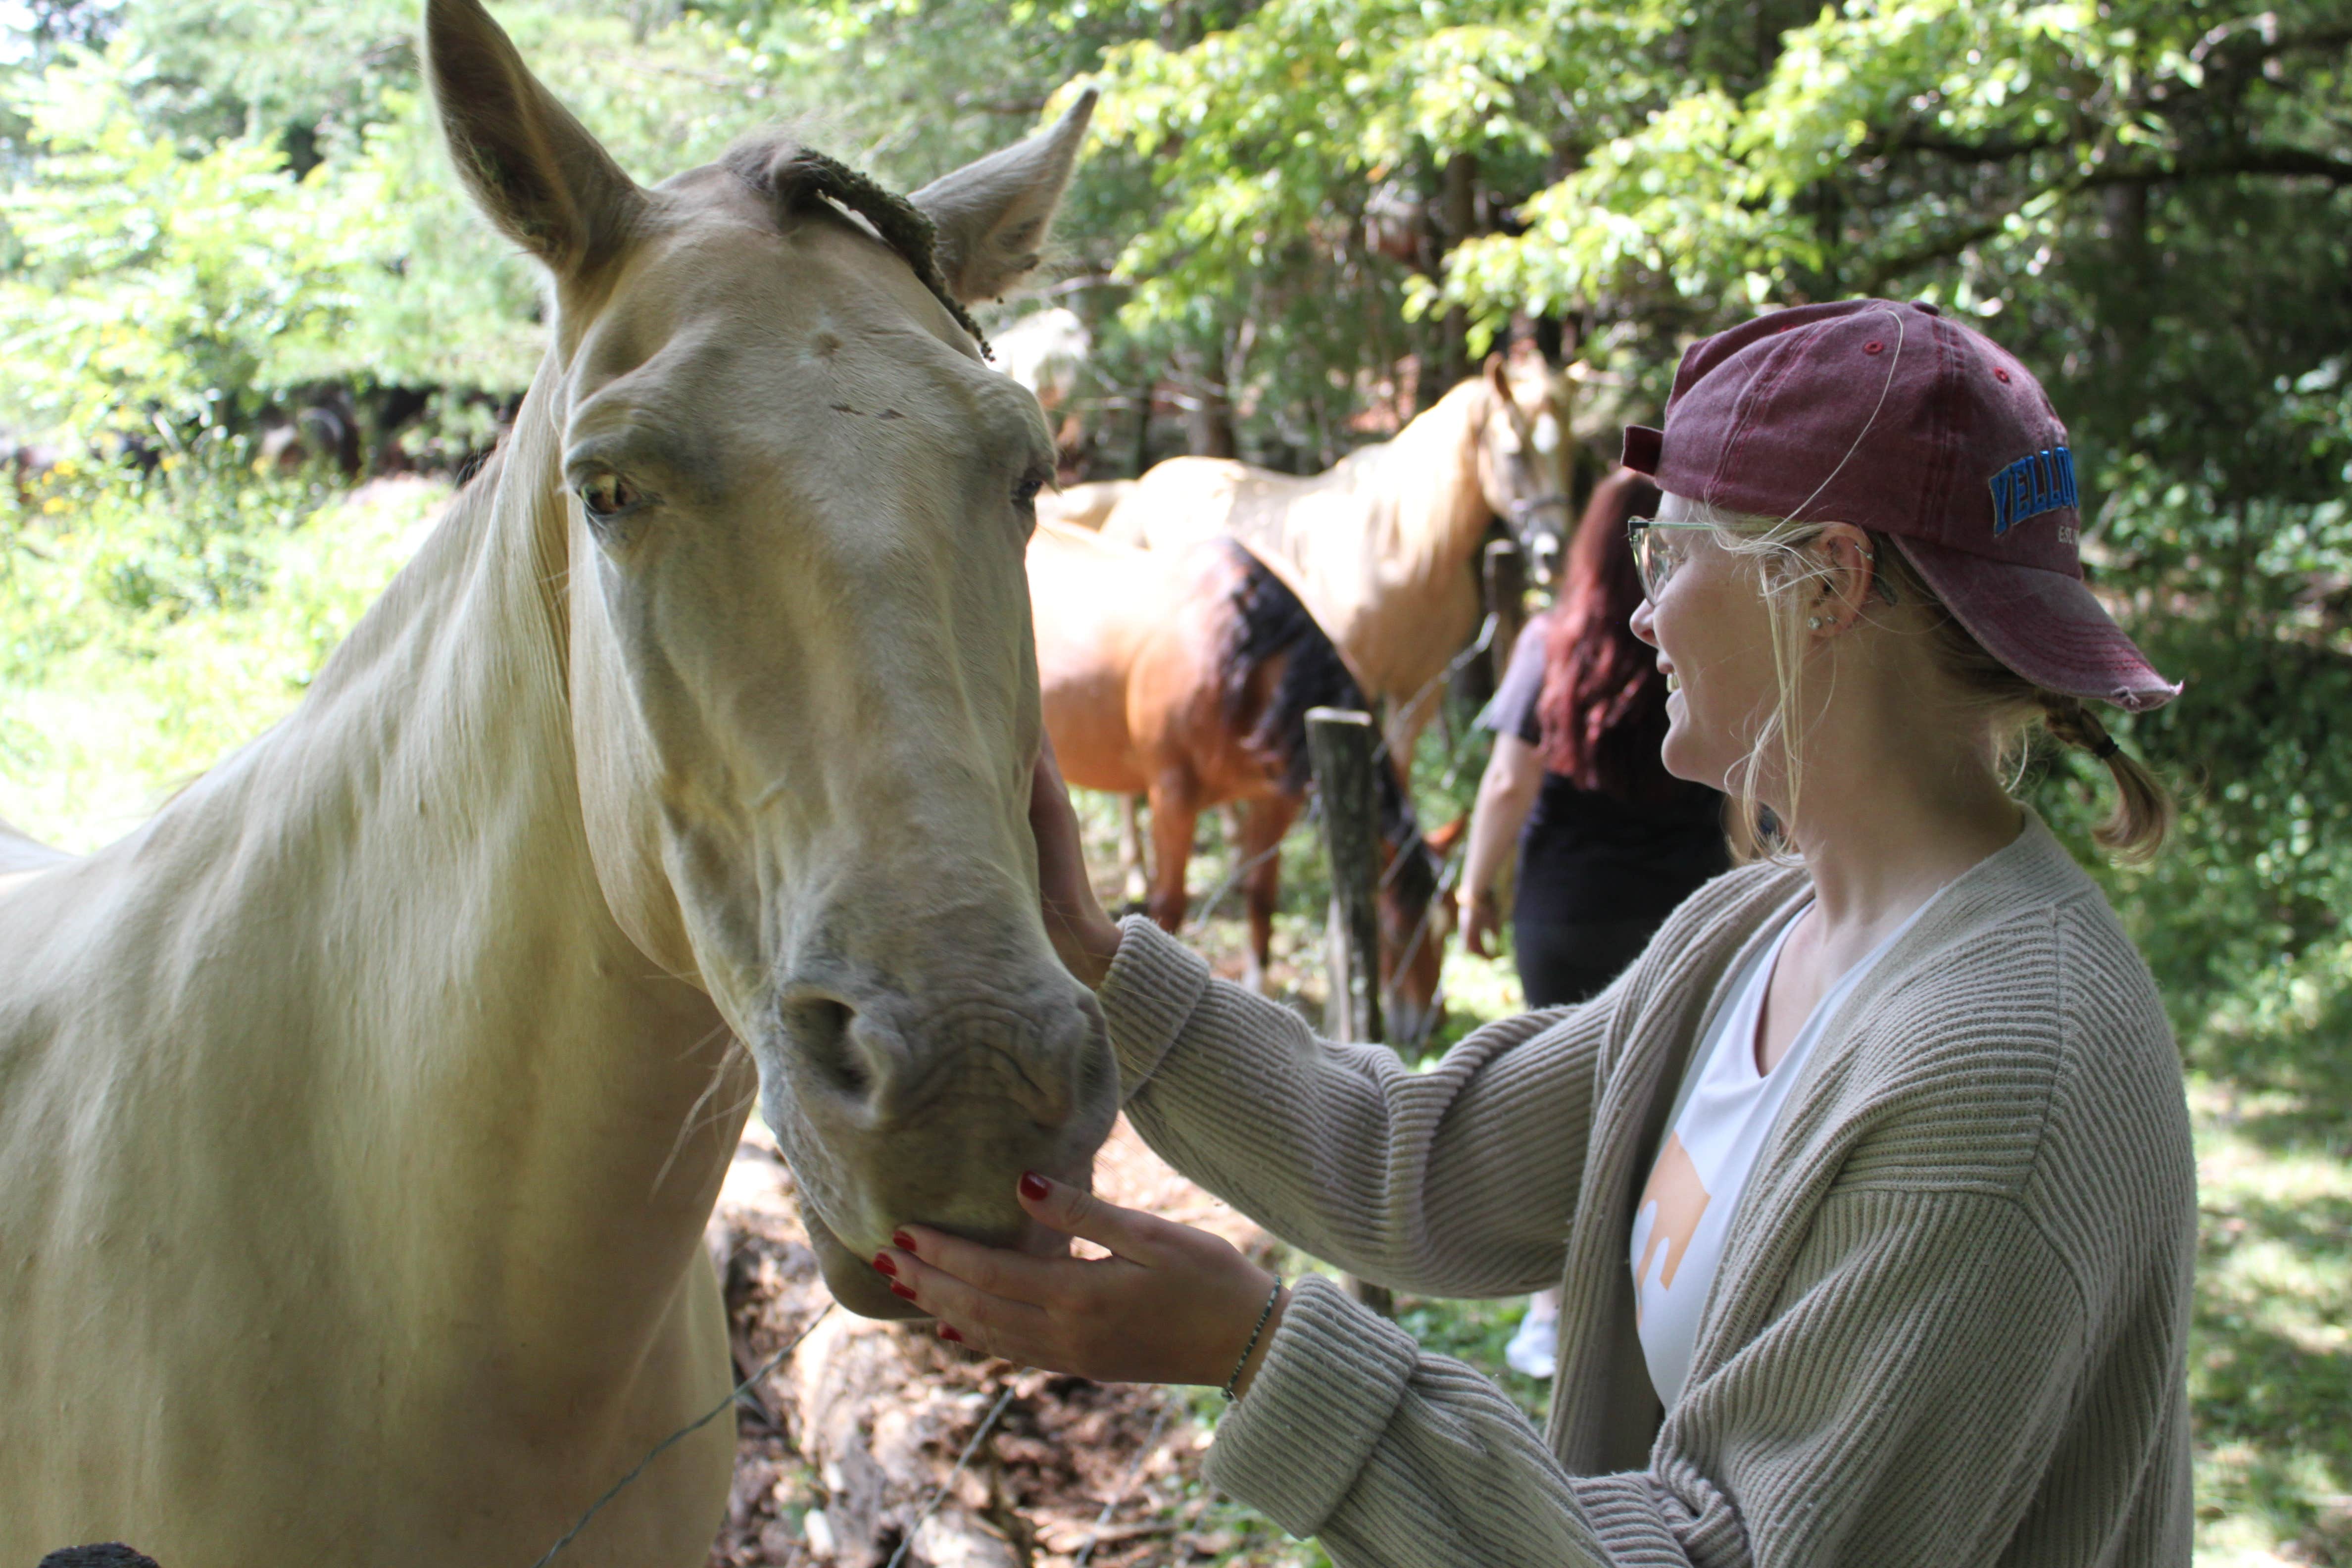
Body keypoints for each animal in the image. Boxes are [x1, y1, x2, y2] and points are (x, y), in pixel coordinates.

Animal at [1029, 522, 1449, 1043]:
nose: (1430, 1024)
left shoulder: (1273, 801)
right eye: (1394, 932)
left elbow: (1261, 897)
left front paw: (1257, 990)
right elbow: (1170, 905)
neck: (1239, 651)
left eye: (1447, 928)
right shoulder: (1173, 796)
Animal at [1100, 355, 1573, 769]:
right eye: (1514, 452)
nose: (1555, 549)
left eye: (1571, 450)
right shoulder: (1354, 684)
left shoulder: (1421, 689)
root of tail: (1139, 489)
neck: (1406, 555)